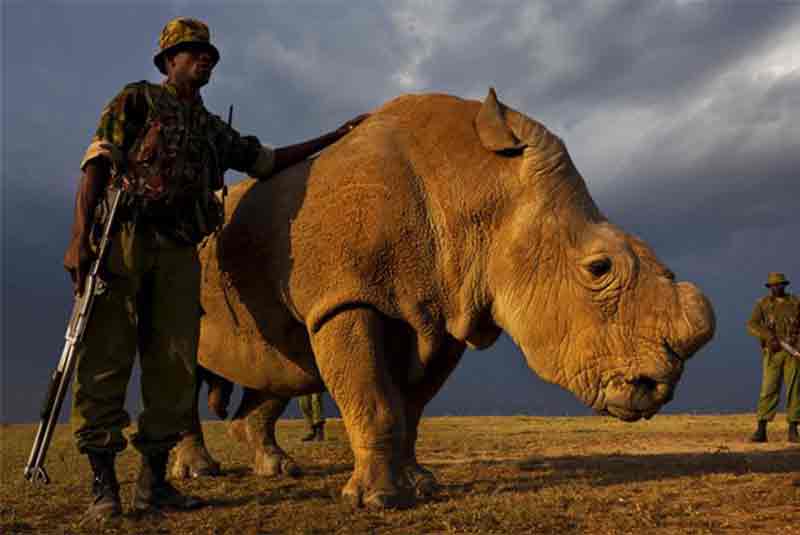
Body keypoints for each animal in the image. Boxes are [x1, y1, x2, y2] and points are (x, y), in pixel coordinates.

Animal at [172, 88, 715, 509]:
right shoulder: (346, 297)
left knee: (279, 366)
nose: (657, 389)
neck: (477, 185)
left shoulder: (446, 309)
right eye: (599, 268)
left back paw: (277, 468)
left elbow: (410, 406)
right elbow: (374, 398)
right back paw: (198, 473)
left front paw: (420, 485)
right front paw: (377, 500)